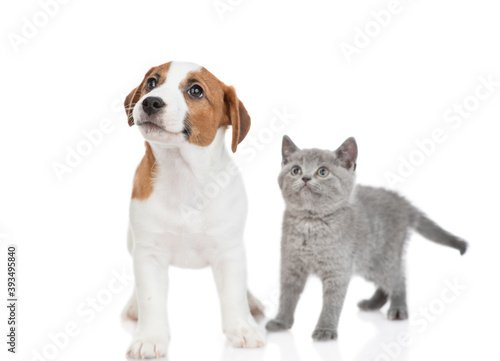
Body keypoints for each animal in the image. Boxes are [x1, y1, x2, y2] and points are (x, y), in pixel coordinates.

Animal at [121, 62, 266, 358]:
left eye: (196, 91)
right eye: (151, 83)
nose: (150, 101)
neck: (184, 175)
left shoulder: (229, 251)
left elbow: (234, 293)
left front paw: (242, 328)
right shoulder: (148, 253)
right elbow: (150, 297)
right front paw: (149, 338)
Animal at [268, 135, 466, 340]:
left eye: (322, 172)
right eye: (295, 170)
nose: (305, 177)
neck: (310, 224)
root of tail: (402, 202)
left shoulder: (338, 269)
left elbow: (332, 302)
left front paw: (325, 330)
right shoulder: (291, 264)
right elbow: (287, 295)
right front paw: (281, 322)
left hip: (382, 258)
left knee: (398, 279)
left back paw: (397, 309)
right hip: (367, 263)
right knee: (385, 285)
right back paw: (372, 304)